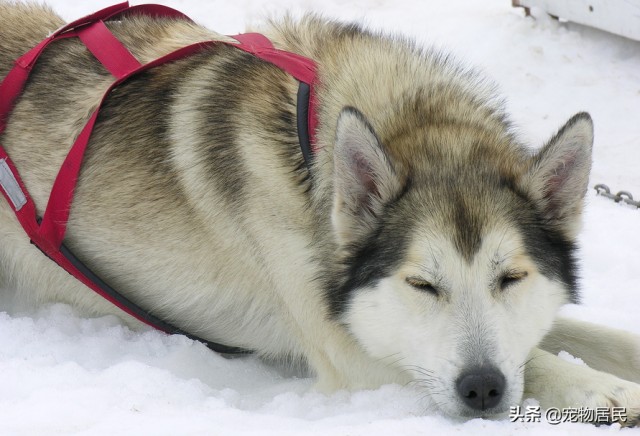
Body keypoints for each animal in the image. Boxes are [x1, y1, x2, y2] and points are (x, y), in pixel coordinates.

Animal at [1, 1, 640, 424]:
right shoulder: (359, 356)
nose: (481, 388)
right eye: (421, 285)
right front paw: (600, 389)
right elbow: (534, 359)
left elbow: (576, 336)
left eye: (510, 278)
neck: (312, 151)